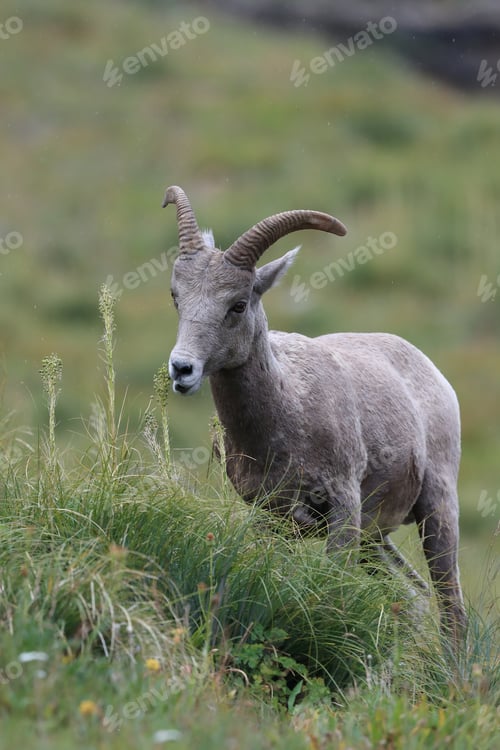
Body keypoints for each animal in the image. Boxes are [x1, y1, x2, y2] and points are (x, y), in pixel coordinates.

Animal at [163, 185, 467, 646]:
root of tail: (431, 371)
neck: (288, 411)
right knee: (412, 598)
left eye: (238, 304)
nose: (182, 369)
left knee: (452, 611)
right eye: (176, 296)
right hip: (375, 540)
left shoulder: (343, 507)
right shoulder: (269, 517)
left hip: (437, 510)